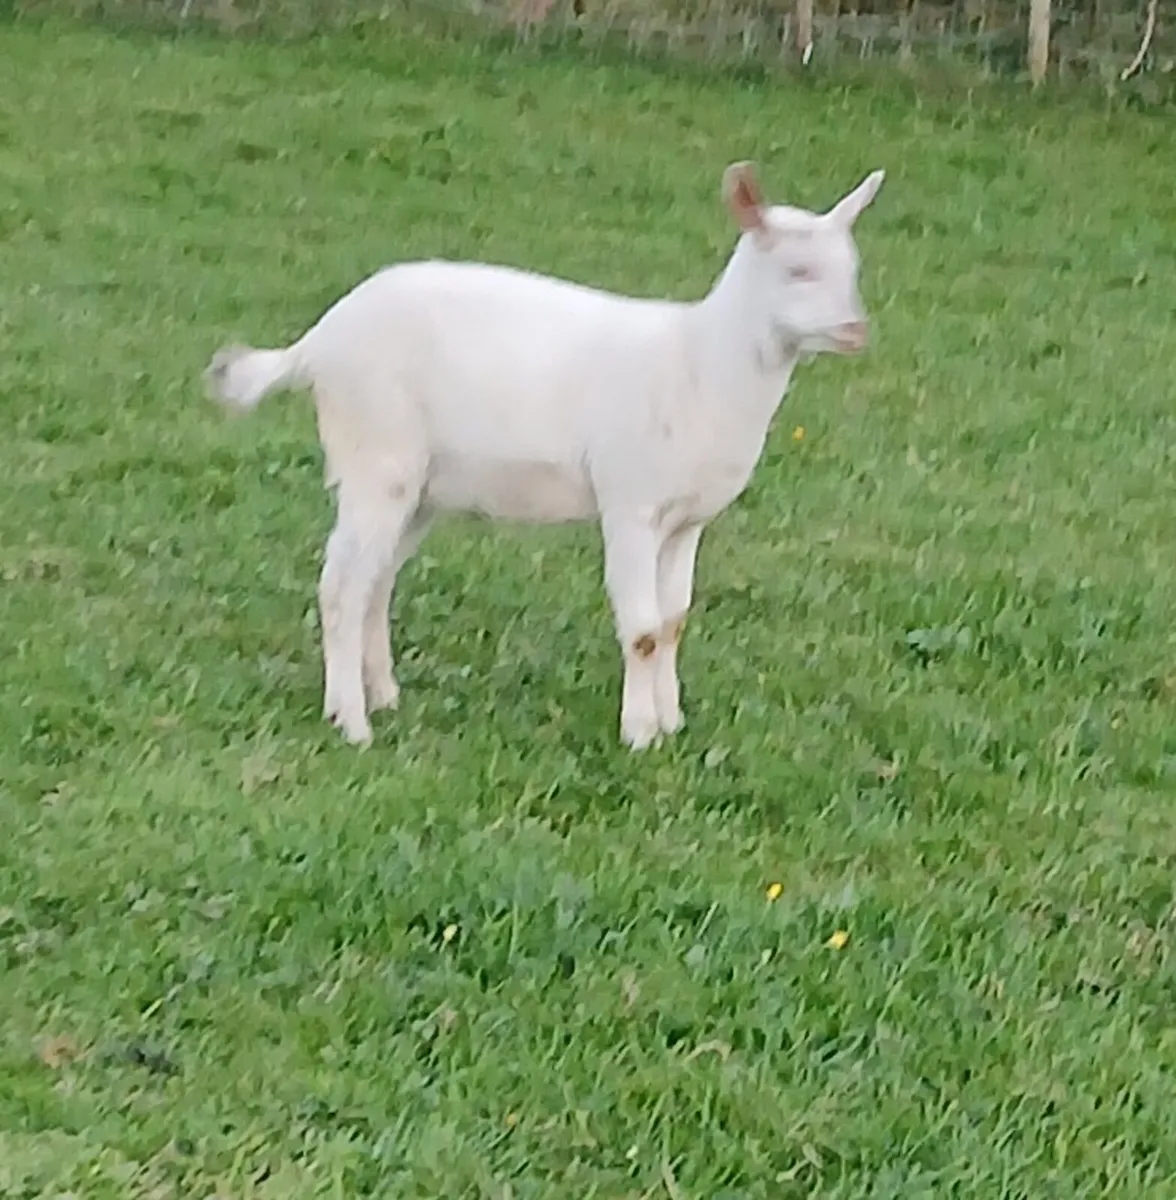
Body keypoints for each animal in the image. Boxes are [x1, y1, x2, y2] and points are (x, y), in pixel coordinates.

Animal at [205, 161, 885, 750]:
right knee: (341, 585)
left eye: (852, 267)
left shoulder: (688, 520)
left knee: (377, 579)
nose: (858, 331)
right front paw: (640, 735)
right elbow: (642, 630)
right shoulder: (629, 502)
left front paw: (672, 723)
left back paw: (383, 696)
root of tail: (316, 341)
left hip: (421, 484)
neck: (697, 361)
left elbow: (672, 622)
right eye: (798, 271)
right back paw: (350, 721)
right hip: (375, 453)